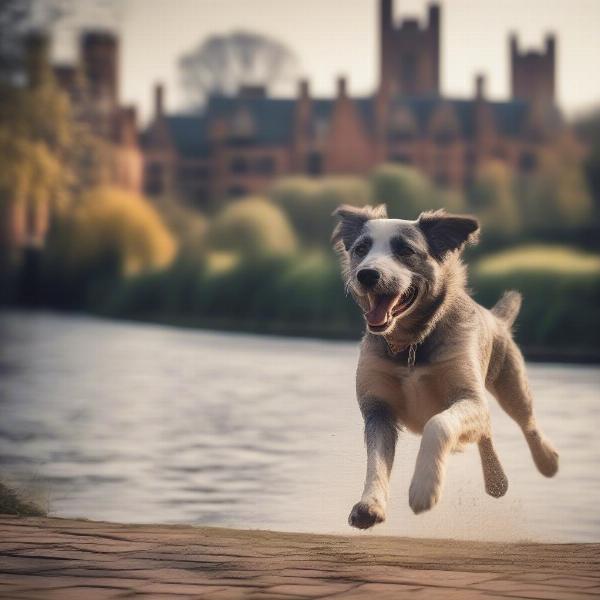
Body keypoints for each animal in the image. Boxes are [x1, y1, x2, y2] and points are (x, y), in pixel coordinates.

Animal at [330, 204, 560, 528]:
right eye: (361, 249)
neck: (411, 344)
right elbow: (376, 461)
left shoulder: (468, 396)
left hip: (511, 384)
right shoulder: (377, 408)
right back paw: (496, 481)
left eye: (405, 250)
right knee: (486, 430)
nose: (367, 274)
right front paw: (369, 506)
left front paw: (424, 488)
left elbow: (438, 423)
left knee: (525, 423)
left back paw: (546, 461)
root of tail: (496, 318)